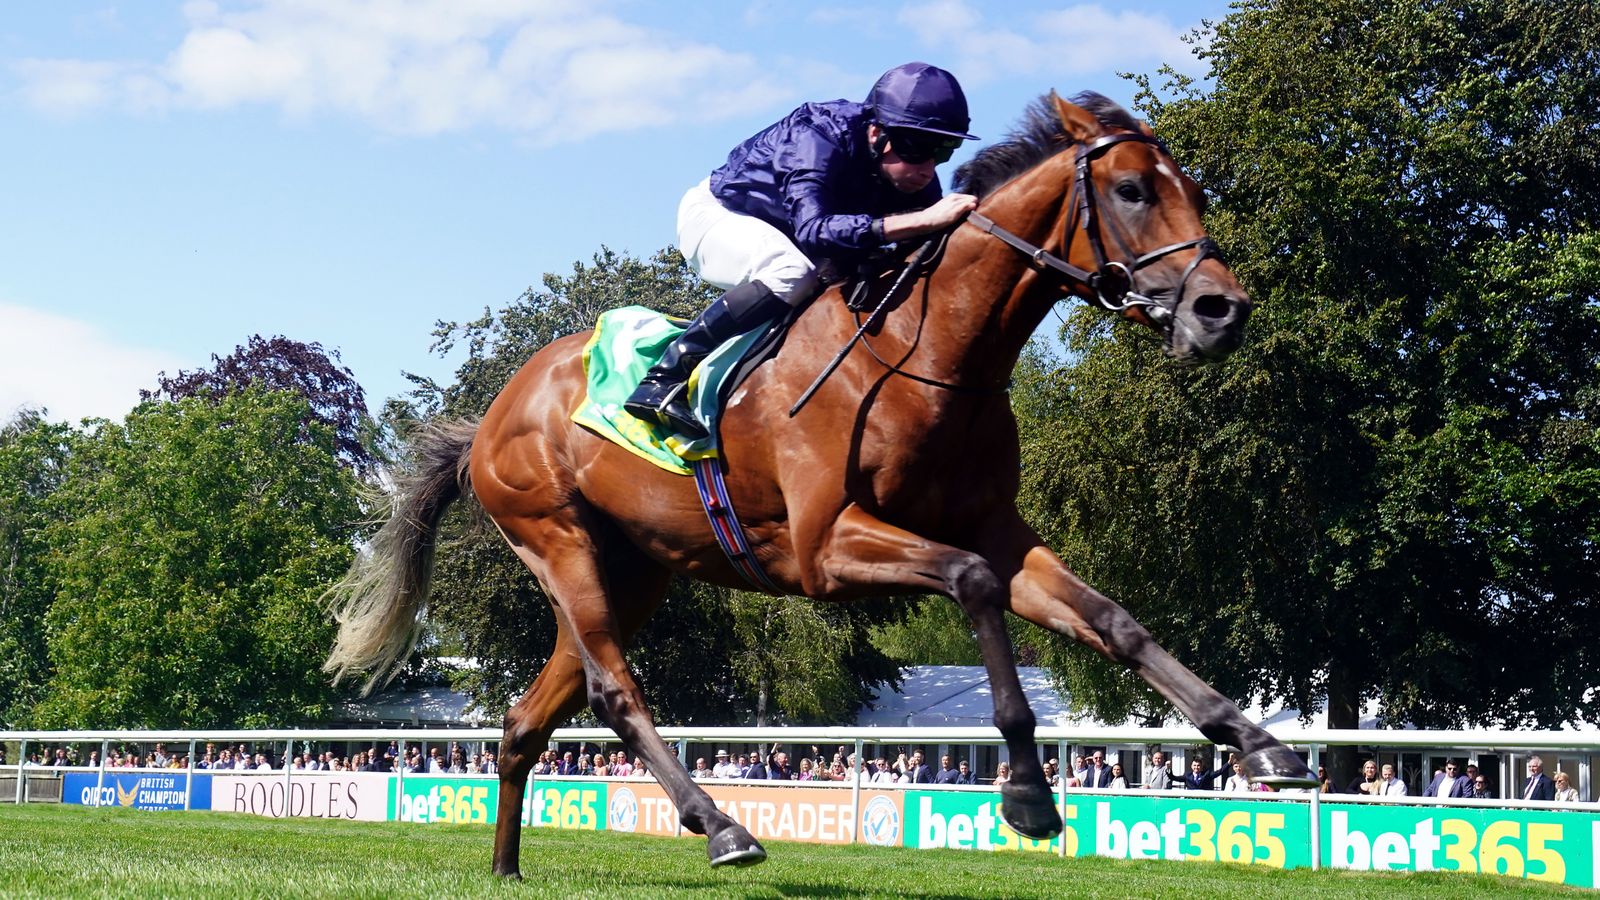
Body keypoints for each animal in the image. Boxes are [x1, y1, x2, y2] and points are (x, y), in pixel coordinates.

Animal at [321, 91, 1312, 877]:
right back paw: (721, 826)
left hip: (632, 571)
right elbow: (972, 584)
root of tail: (492, 413)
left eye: (1196, 191)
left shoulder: (995, 524)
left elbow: (1113, 618)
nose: (1223, 310)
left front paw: (1260, 743)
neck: (928, 353)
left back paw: (507, 867)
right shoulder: (825, 549)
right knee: (613, 691)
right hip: (556, 539)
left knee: (533, 715)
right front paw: (1028, 795)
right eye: (1133, 190)